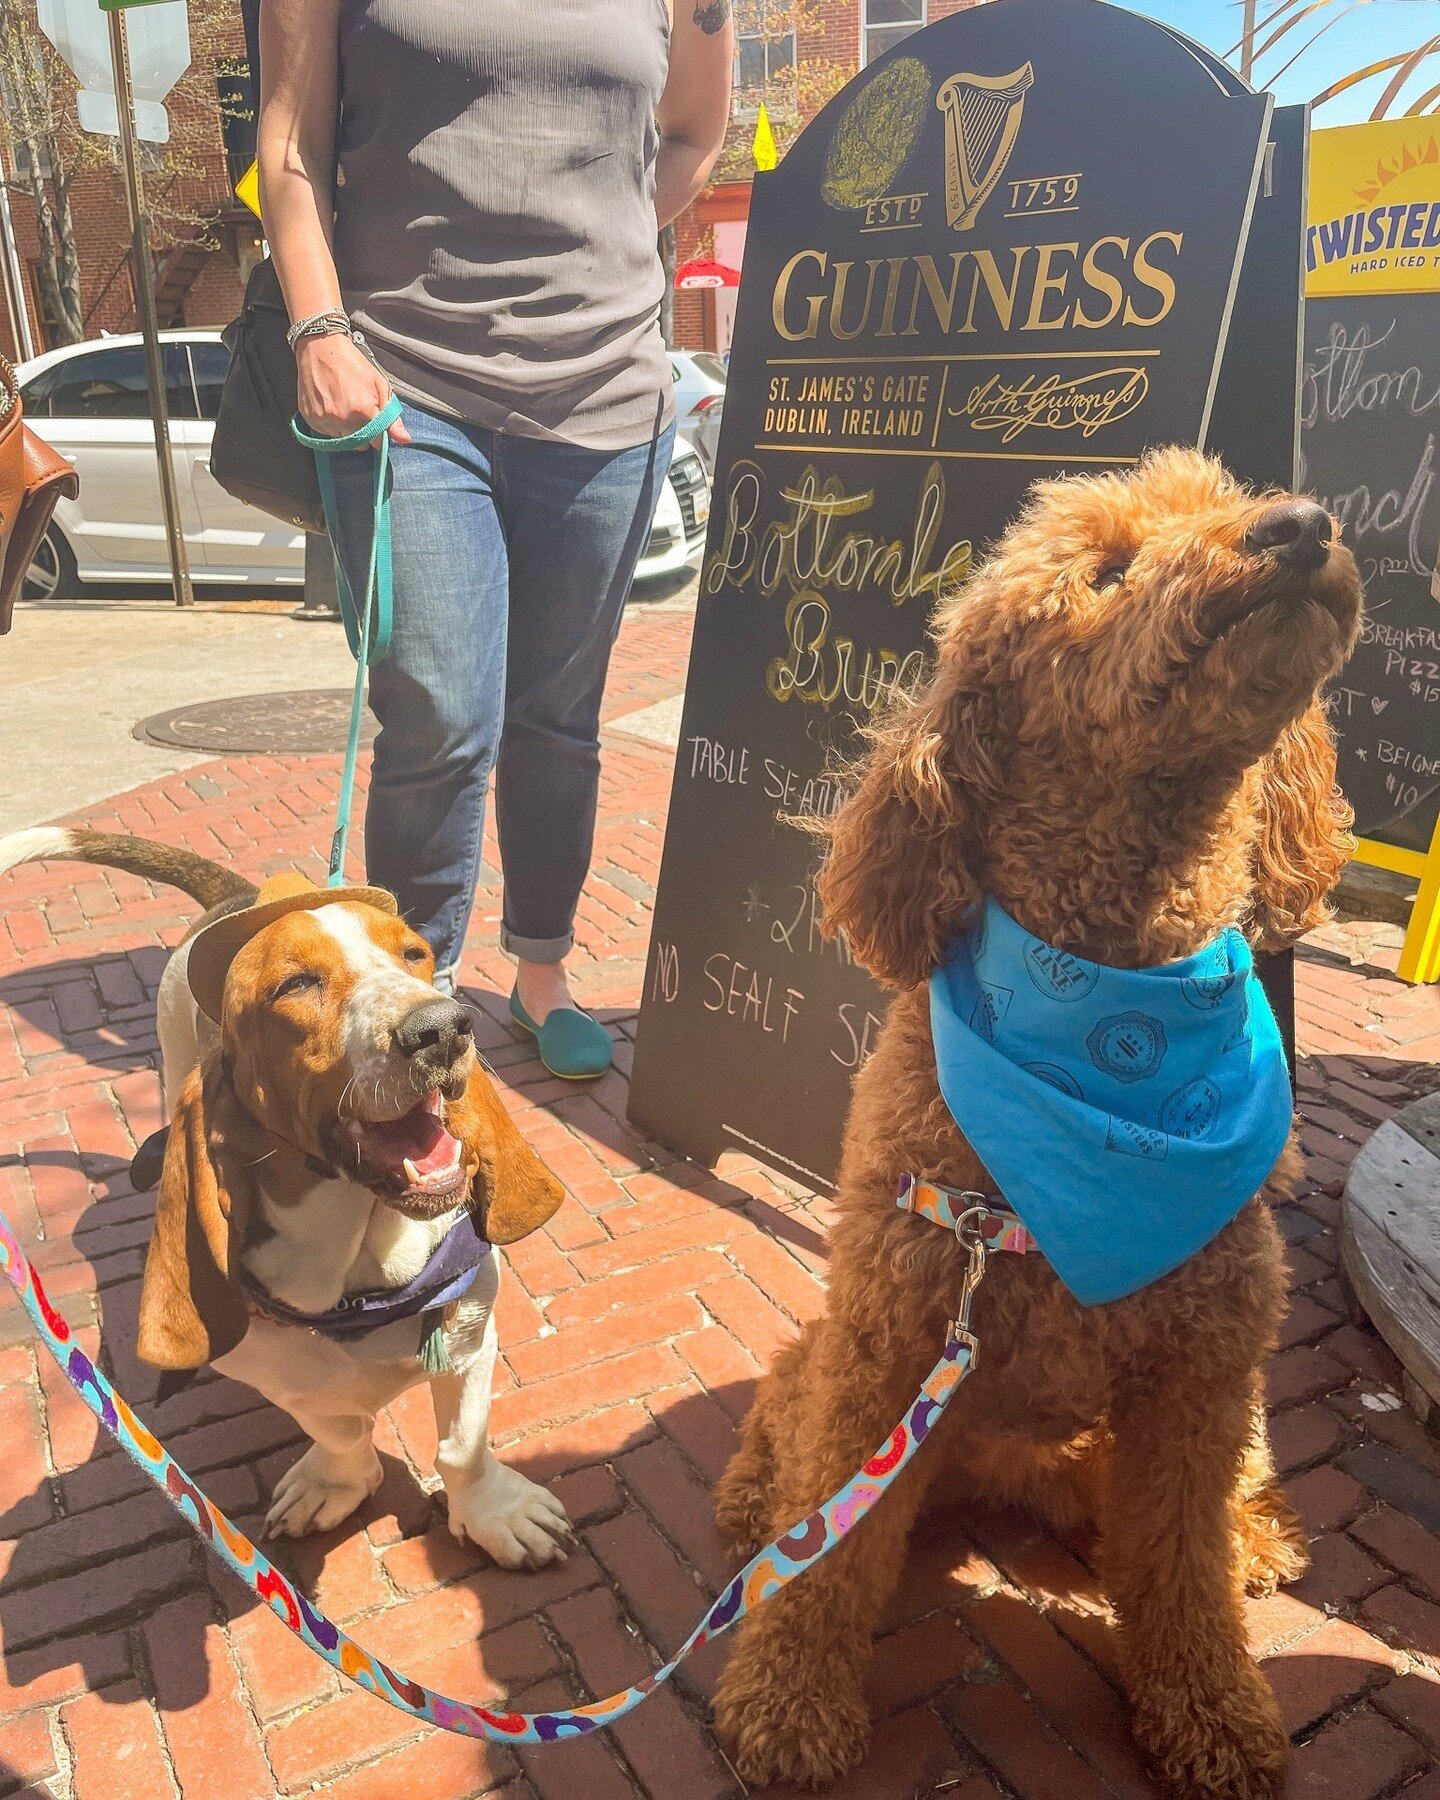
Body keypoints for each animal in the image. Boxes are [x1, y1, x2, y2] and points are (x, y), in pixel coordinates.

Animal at [0, 835, 572, 1569]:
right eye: (295, 985)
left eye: (415, 954)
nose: (444, 1027)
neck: (360, 1278)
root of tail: (239, 896)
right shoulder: (282, 1379)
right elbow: (343, 1427)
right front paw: (336, 1482)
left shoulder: (472, 1339)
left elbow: (461, 1449)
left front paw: (496, 1514)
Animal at [712, 442, 1368, 1792]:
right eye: (1106, 569)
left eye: (1230, 497)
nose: (1297, 523)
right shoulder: (889, 1333)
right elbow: (827, 1553)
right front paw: (787, 1704)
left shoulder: (1203, 1375)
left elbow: (1179, 1569)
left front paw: (1214, 1712)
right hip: (850, 1354)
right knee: (788, 1425)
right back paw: (754, 1507)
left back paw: (1258, 1537)